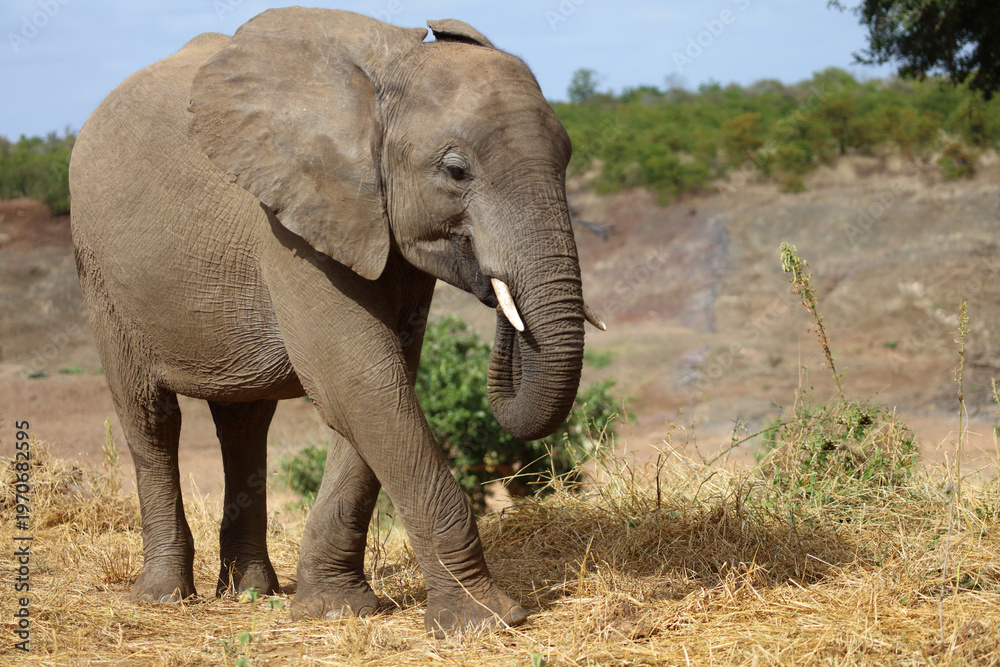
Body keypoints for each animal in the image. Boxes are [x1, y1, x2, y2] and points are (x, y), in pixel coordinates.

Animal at [69, 7, 604, 636]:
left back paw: (251, 593)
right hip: (99, 270)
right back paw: (162, 598)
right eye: (455, 170)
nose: (500, 297)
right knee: (150, 417)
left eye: (567, 159)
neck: (383, 82)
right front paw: (486, 621)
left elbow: (375, 389)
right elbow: (361, 381)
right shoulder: (290, 227)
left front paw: (333, 608)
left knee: (244, 425)